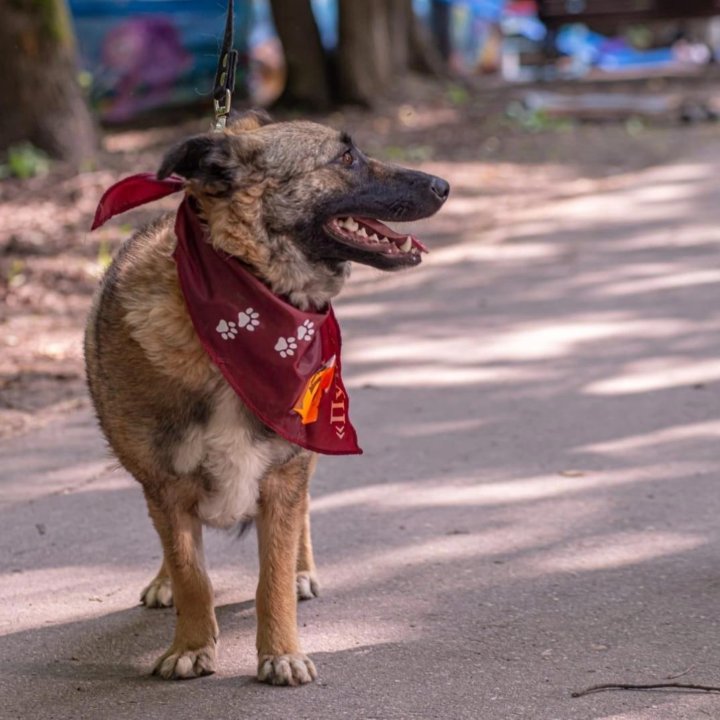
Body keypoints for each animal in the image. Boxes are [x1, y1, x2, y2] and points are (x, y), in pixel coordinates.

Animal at [84, 108, 450, 688]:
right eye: (345, 157)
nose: (444, 185)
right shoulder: (165, 484)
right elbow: (191, 572)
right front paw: (190, 643)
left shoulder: (283, 473)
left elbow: (271, 579)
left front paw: (281, 651)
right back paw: (164, 582)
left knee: (302, 516)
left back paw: (302, 570)